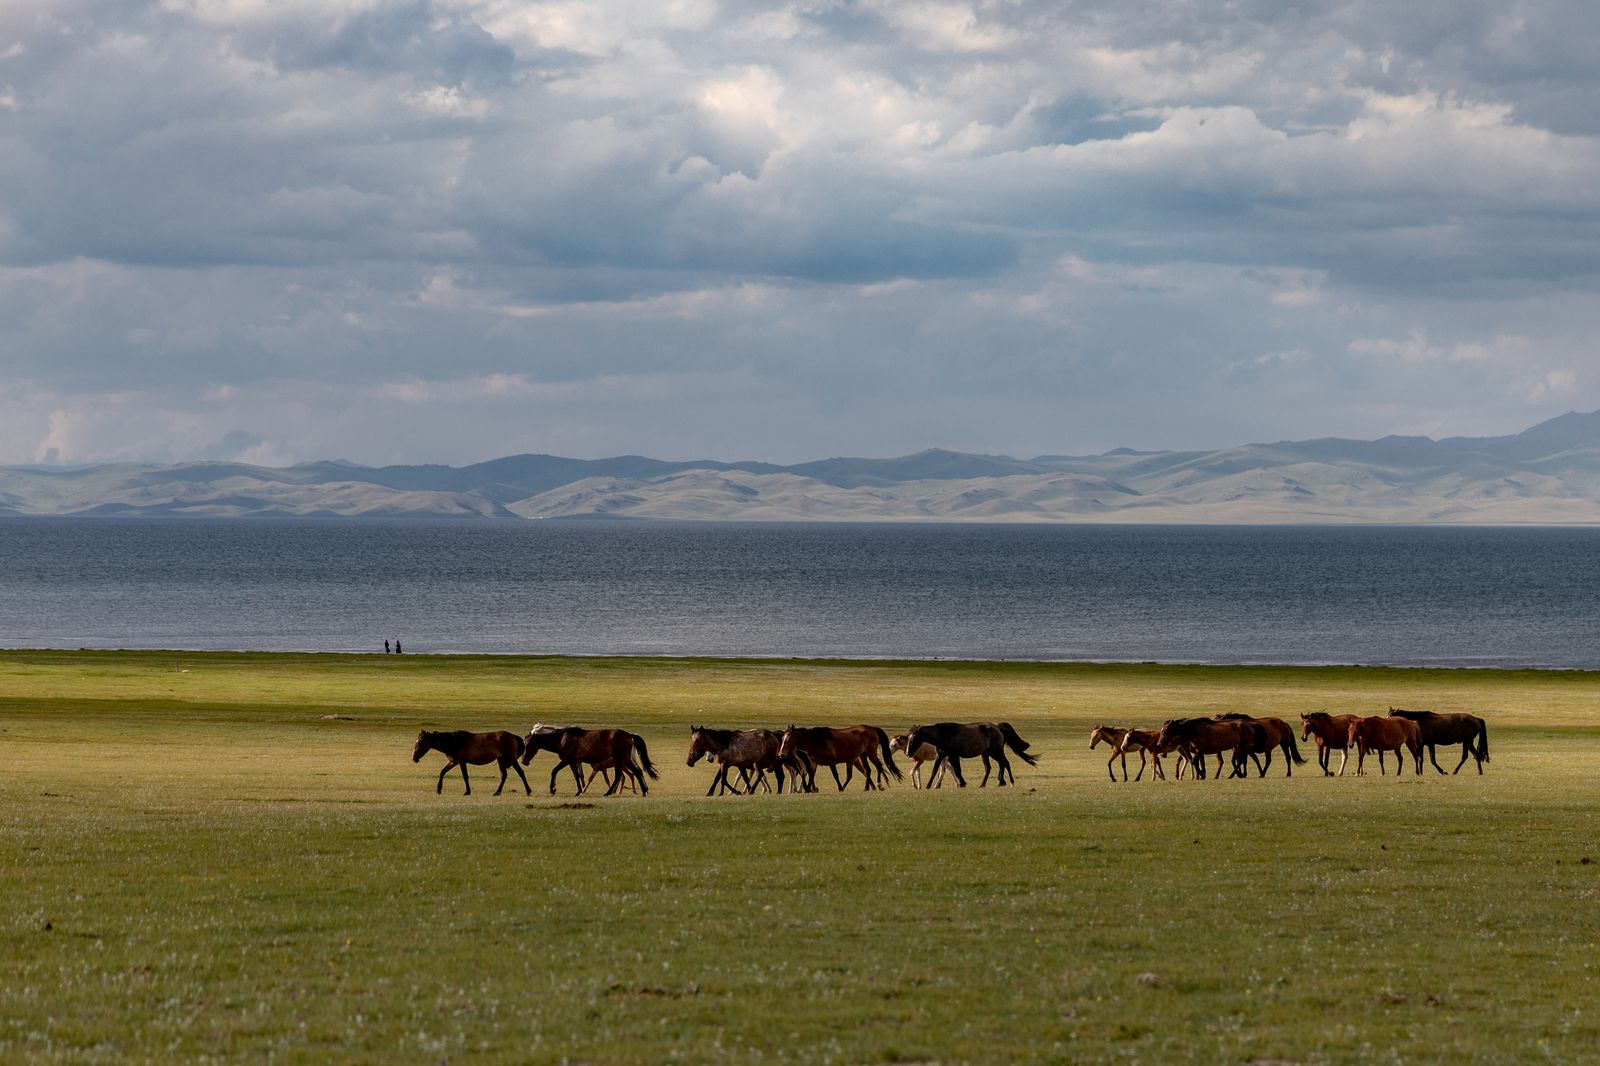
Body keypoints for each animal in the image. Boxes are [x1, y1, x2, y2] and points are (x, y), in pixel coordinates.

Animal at [521, 726, 659, 796]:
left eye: (528, 745)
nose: (523, 761)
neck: (562, 740)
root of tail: (630, 735)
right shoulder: (573, 762)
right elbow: (576, 776)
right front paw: (579, 791)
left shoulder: (567, 760)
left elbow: (555, 771)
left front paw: (553, 789)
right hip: (625, 759)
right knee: (637, 772)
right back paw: (644, 791)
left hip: (619, 759)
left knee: (620, 775)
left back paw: (609, 792)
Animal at [904, 722, 1038, 788]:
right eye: (908, 738)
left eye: (913, 739)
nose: (907, 753)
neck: (943, 734)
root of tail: (998, 728)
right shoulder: (941, 756)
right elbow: (935, 770)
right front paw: (928, 785)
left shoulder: (954, 756)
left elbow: (957, 770)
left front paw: (962, 783)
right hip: (987, 753)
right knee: (991, 767)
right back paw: (987, 784)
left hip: (996, 752)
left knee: (1005, 763)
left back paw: (1009, 782)